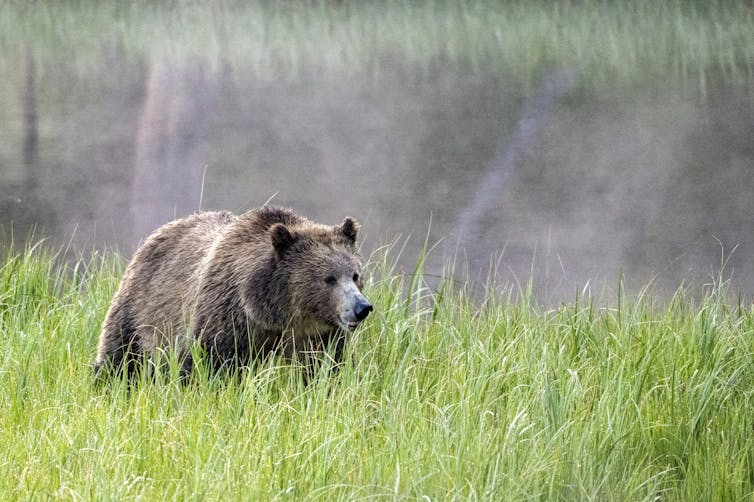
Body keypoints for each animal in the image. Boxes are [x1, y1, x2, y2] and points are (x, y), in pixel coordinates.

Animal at [93, 206, 373, 378]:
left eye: (355, 275)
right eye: (329, 279)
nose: (362, 308)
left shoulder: (319, 338)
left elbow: (323, 371)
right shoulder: (226, 319)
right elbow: (207, 365)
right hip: (141, 310)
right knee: (120, 358)